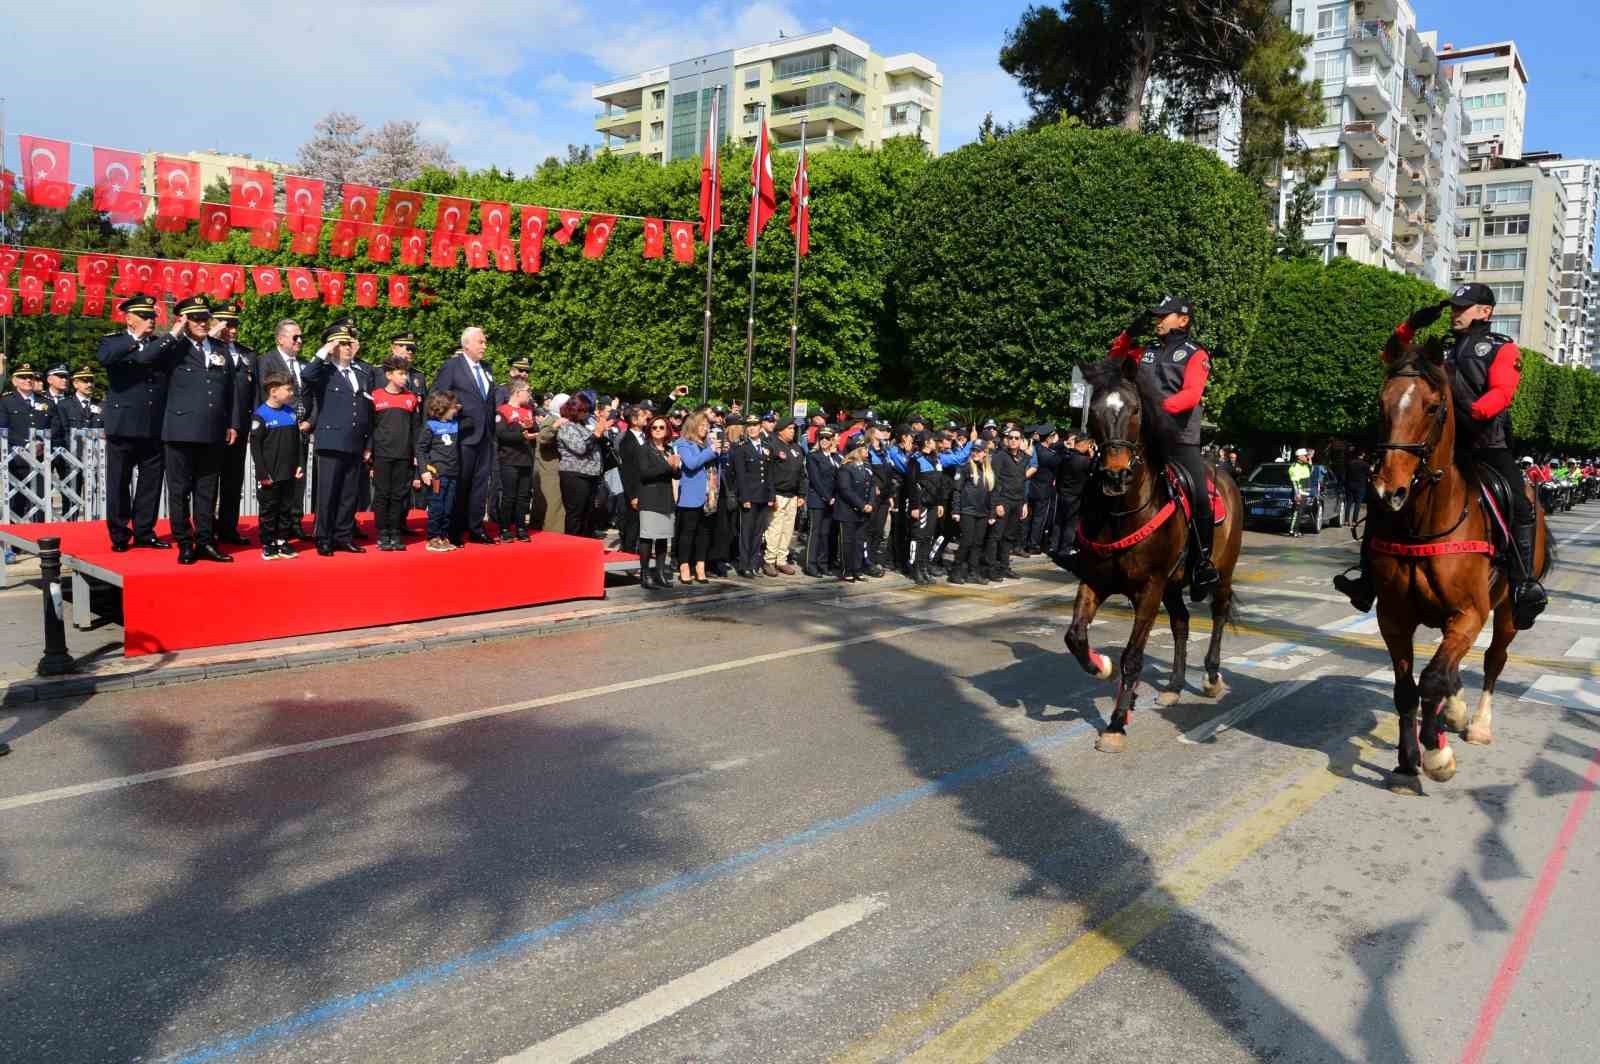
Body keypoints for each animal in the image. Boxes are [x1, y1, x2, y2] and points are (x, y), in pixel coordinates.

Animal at [1068, 355, 1241, 745]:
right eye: (1095, 410)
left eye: (1134, 409)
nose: (1115, 475)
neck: (1121, 513)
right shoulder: (1095, 581)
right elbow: (1075, 637)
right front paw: (1100, 667)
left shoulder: (1149, 588)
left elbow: (1133, 656)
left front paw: (1116, 723)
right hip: (1174, 585)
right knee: (1181, 622)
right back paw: (1175, 685)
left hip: (1220, 573)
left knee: (1219, 614)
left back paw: (1211, 676)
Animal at [1363, 332, 1548, 787]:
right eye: (1382, 403)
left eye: (1432, 407)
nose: (1388, 491)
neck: (1423, 525)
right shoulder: (1393, 617)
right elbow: (1408, 689)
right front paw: (1406, 764)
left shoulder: (1469, 613)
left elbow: (1432, 680)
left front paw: (1435, 755)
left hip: (1508, 612)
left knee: (1493, 660)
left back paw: (1478, 724)